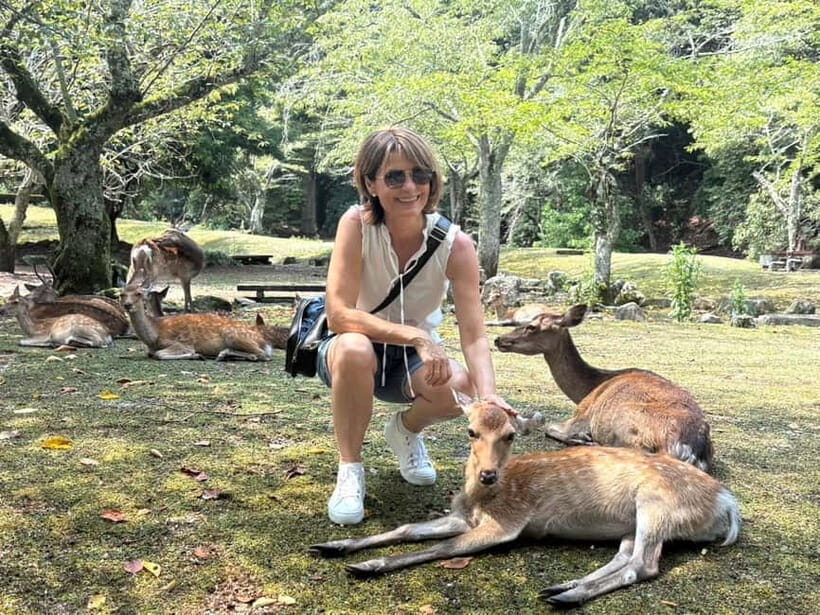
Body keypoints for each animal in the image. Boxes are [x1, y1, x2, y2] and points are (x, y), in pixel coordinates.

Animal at [120, 282, 288, 360]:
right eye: (122, 294)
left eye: (139, 293)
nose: (127, 305)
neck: (155, 335)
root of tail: (264, 340)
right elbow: (152, 353)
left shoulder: (182, 343)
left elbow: (159, 354)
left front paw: (196, 355)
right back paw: (223, 354)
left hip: (234, 335)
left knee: (263, 354)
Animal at [310, 396, 741, 607]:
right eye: (470, 431)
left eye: (511, 435)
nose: (488, 474)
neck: (481, 501)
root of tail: (728, 504)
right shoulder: (462, 517)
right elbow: (409, 528)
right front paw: (334, 545)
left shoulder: (507, 522)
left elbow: (443, 548)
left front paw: (364, 567)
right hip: (633, 522)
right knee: (625, 557)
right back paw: (562, 587)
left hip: (656, 506)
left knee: (643, 565)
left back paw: (568, 597)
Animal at [494, 304, 713, 472]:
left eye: (531, 327)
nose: (498, 339)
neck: (590, 387)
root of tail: (686, 448)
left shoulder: (582, 415)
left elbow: (548, 427)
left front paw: (580, 437)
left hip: (625, 422)